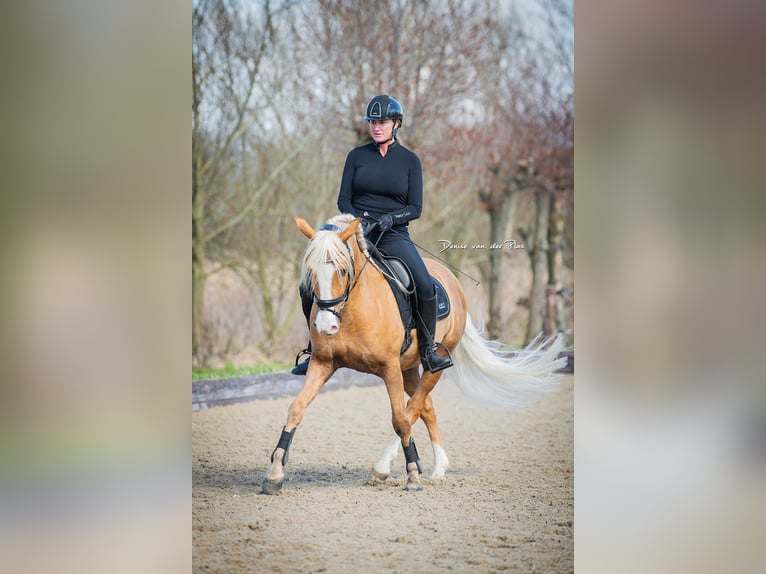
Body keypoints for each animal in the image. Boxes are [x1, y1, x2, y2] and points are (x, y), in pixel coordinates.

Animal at [260, 215, 568, 496]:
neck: (354, 308)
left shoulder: (388, 368)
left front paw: (411, 477)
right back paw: (438, 466)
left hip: (433, 365)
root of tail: (451, 280)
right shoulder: (323, 364)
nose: (326, 326)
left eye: (343, 270)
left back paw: (389, 466)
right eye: (310, 271)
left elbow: (400, 419)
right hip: (408, 368)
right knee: (426, 406)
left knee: (414, 407)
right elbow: (296, 409)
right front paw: (274, 474)